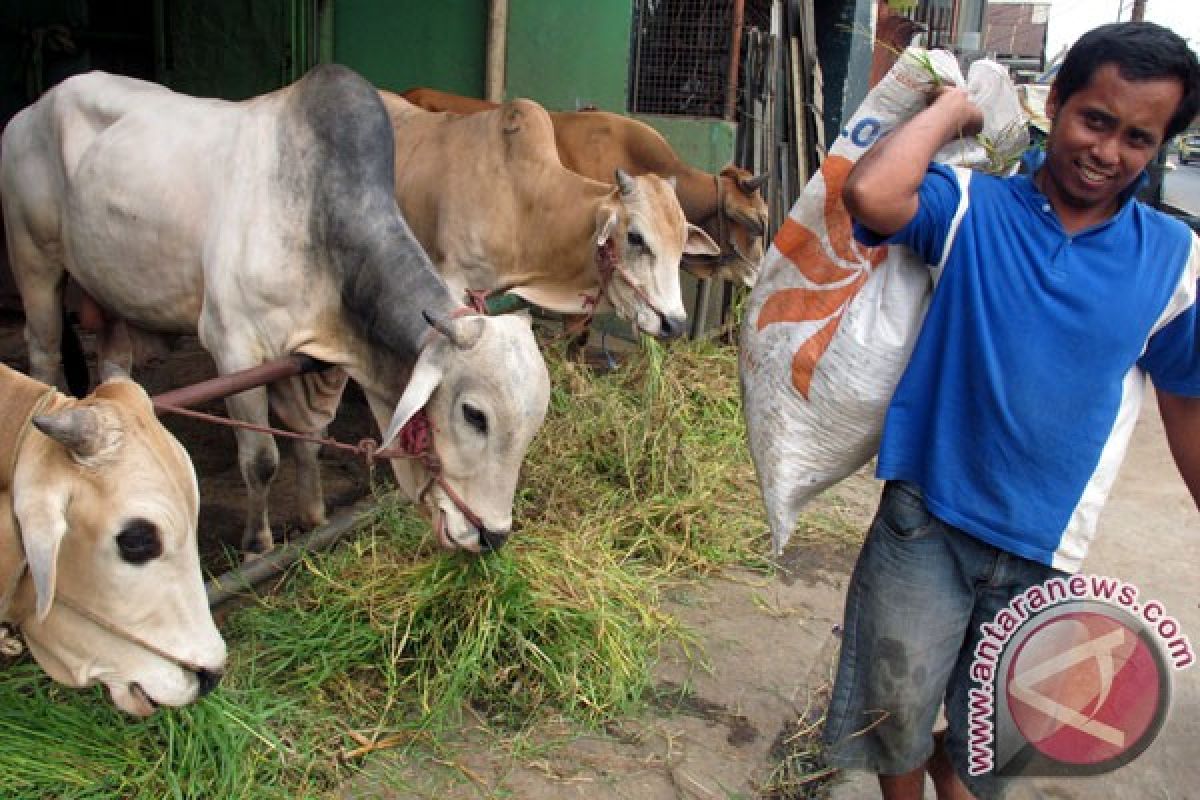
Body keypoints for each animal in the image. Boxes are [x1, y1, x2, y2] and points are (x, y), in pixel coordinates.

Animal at [0, 65, 552, 556]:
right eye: (474, 415)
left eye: (534, 424)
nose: (491, 536)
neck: (318, 219)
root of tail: (31, 109)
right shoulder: (235, 350)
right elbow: (261, 459)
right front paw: (257, 545)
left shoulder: (313, 360)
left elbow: (310, 440)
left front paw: (314, 516)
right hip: (35, 263)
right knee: (43, 354)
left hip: (111, 288)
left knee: (115, 367)